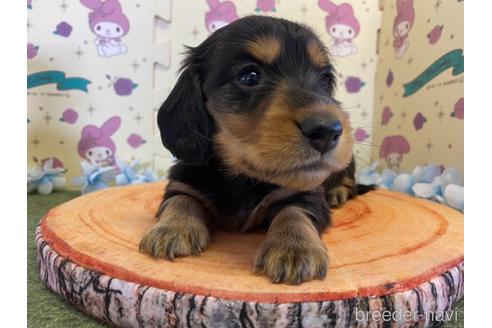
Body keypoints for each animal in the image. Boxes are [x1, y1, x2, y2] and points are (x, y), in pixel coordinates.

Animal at [138, 16, 366, 284]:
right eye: (249, 76)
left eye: (326, 79)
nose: (328, 130)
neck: (245, 177)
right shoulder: (182, 181)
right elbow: (182, 199)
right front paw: (172, 229)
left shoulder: (307, 193)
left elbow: (294, 212)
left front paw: (294, 249)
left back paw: (338, 193)